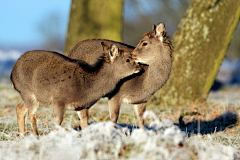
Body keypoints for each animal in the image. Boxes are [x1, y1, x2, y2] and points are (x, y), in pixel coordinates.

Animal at [11, 42, 142, 136]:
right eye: (128, 60)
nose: (140, 67)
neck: (86, 88)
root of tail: (12, 73)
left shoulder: (82, 106)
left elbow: (85, 125)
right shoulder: (58, 101)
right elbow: (57, 123)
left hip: (29, 94)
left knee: (20, 108)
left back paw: (22, 137)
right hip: (27, 91)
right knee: (31, 113)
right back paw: (36, 136)